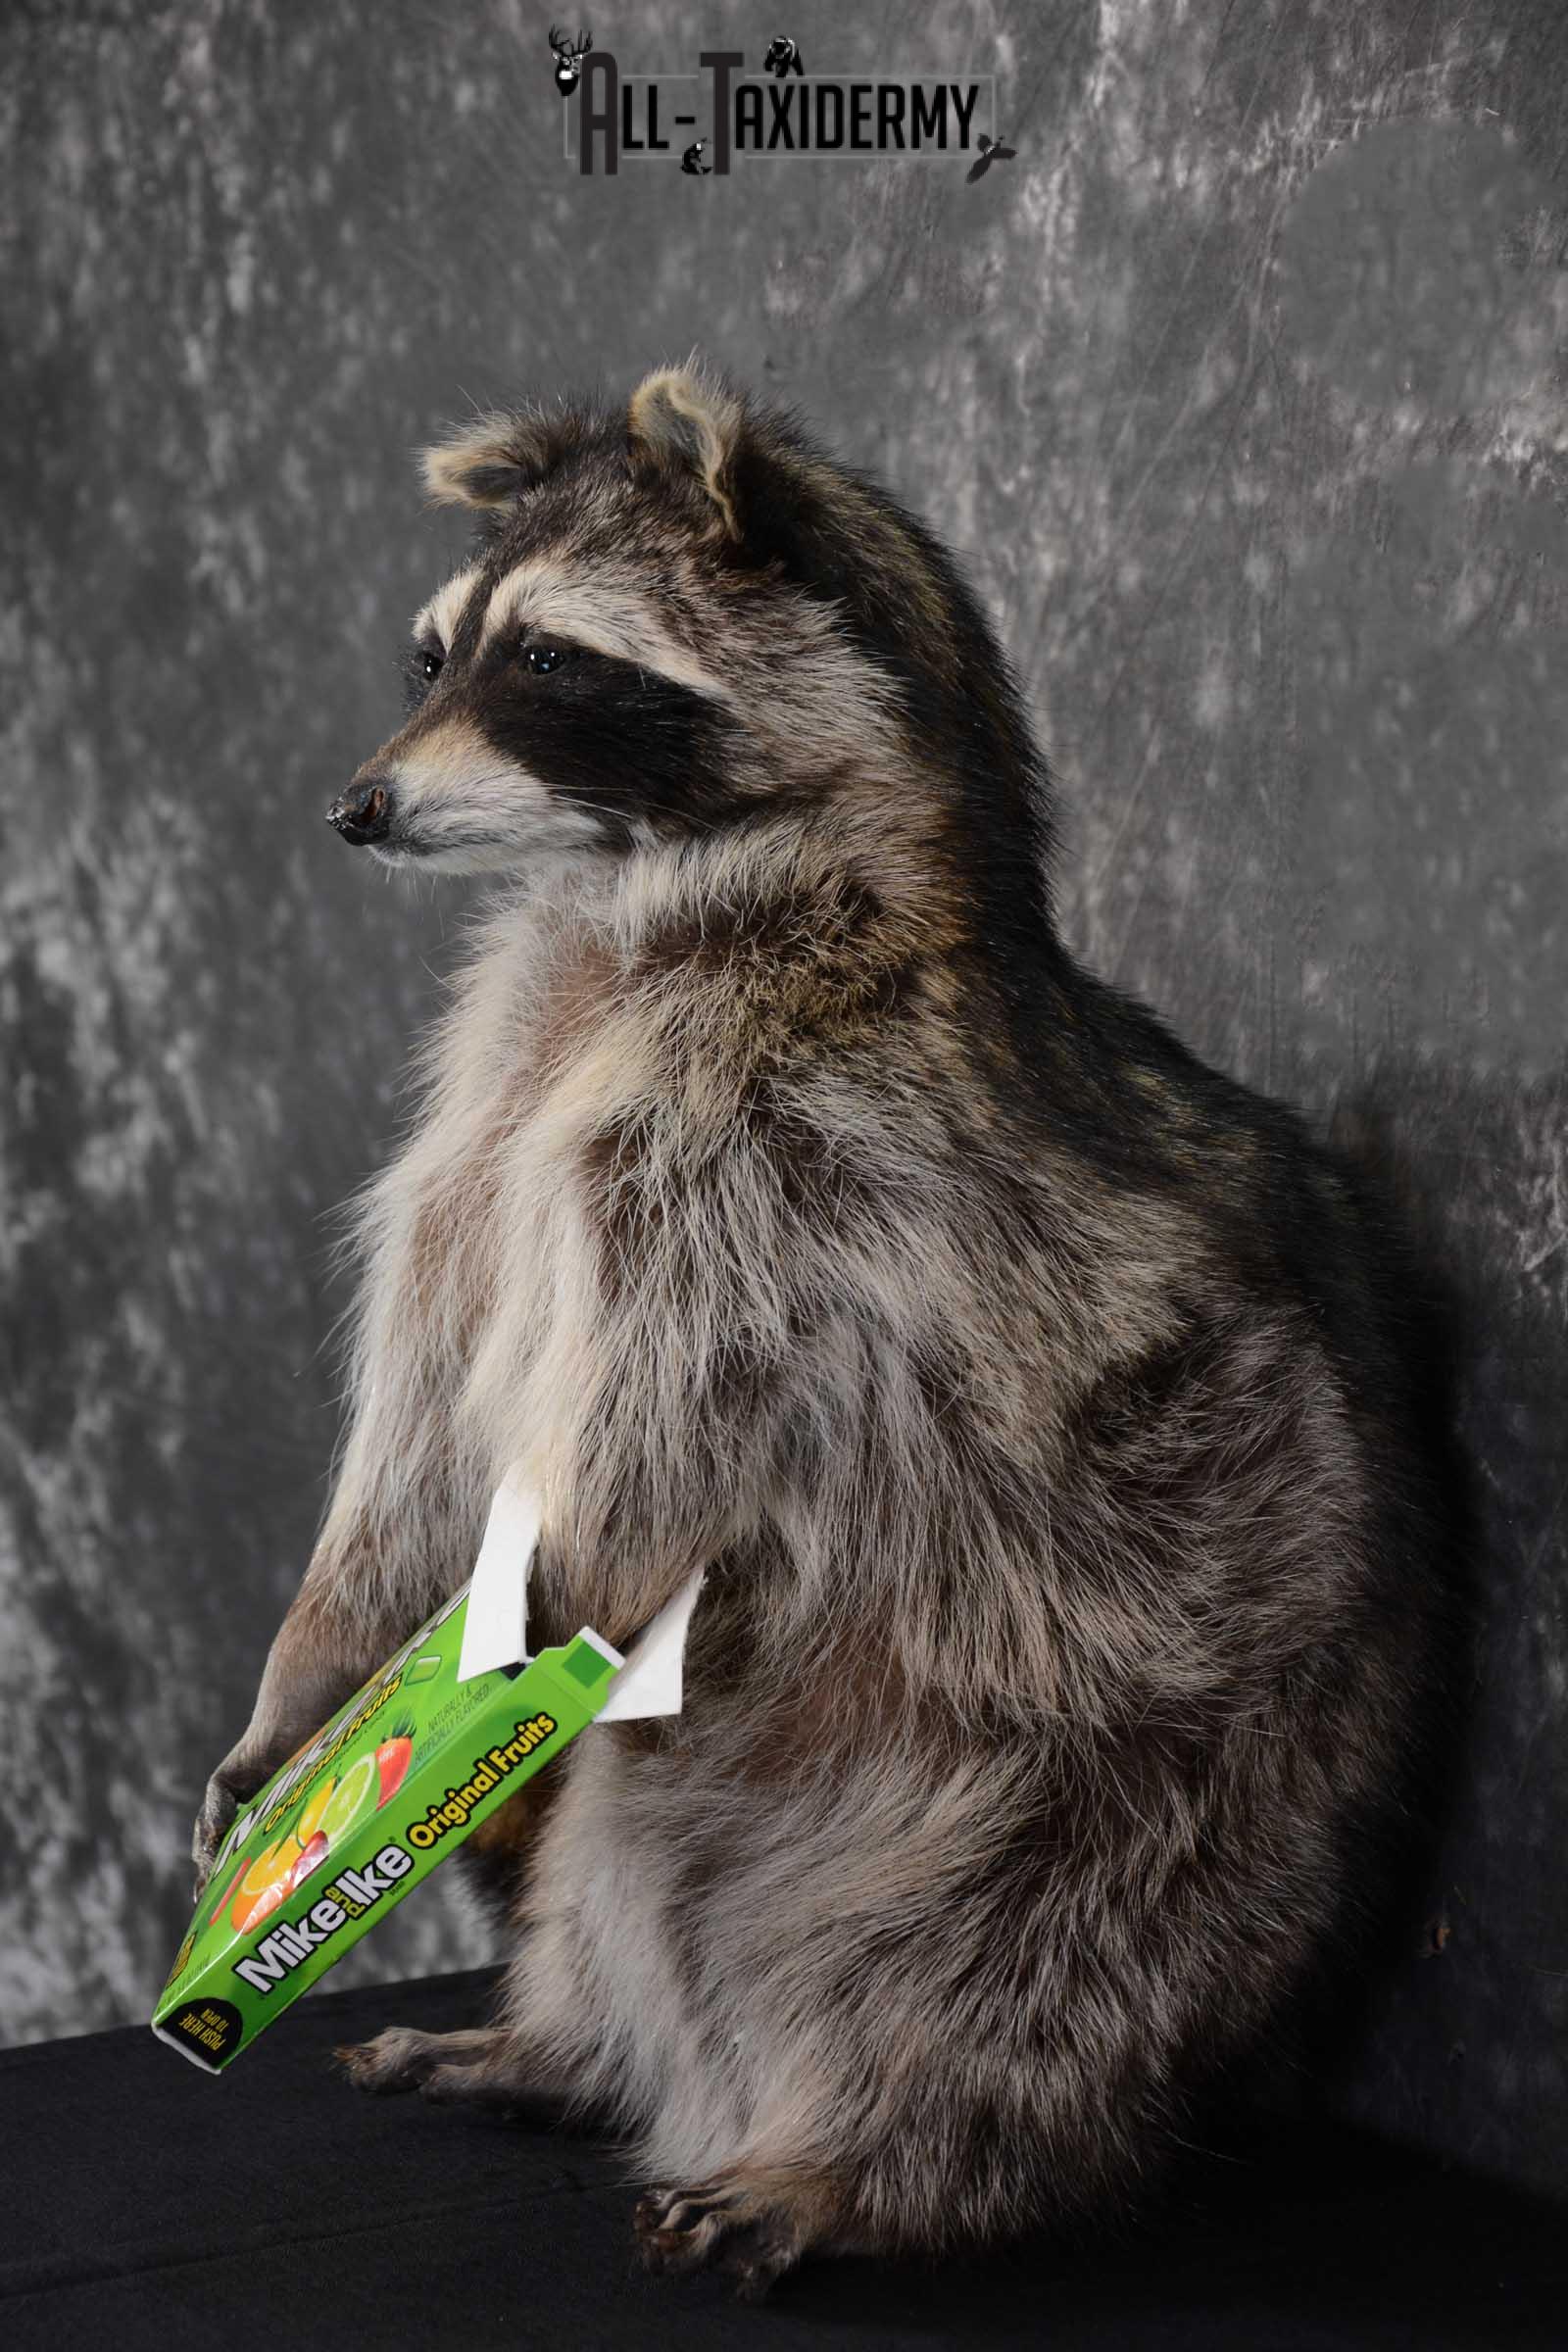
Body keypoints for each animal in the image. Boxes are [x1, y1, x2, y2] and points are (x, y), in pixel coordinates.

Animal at [194, 361, 1449, 2294]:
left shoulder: (783, 1147)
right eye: (433, 654)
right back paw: (562, 2041)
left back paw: (864, 2161)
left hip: (1134, 1753)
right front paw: (318, 1673)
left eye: (549, 660)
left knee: (1007, 1969)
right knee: (608, 1863)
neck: (634, 903)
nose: (358, 808)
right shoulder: (496, 1086)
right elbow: (423, 1402)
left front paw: (486, 1642)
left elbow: (643, 1447)